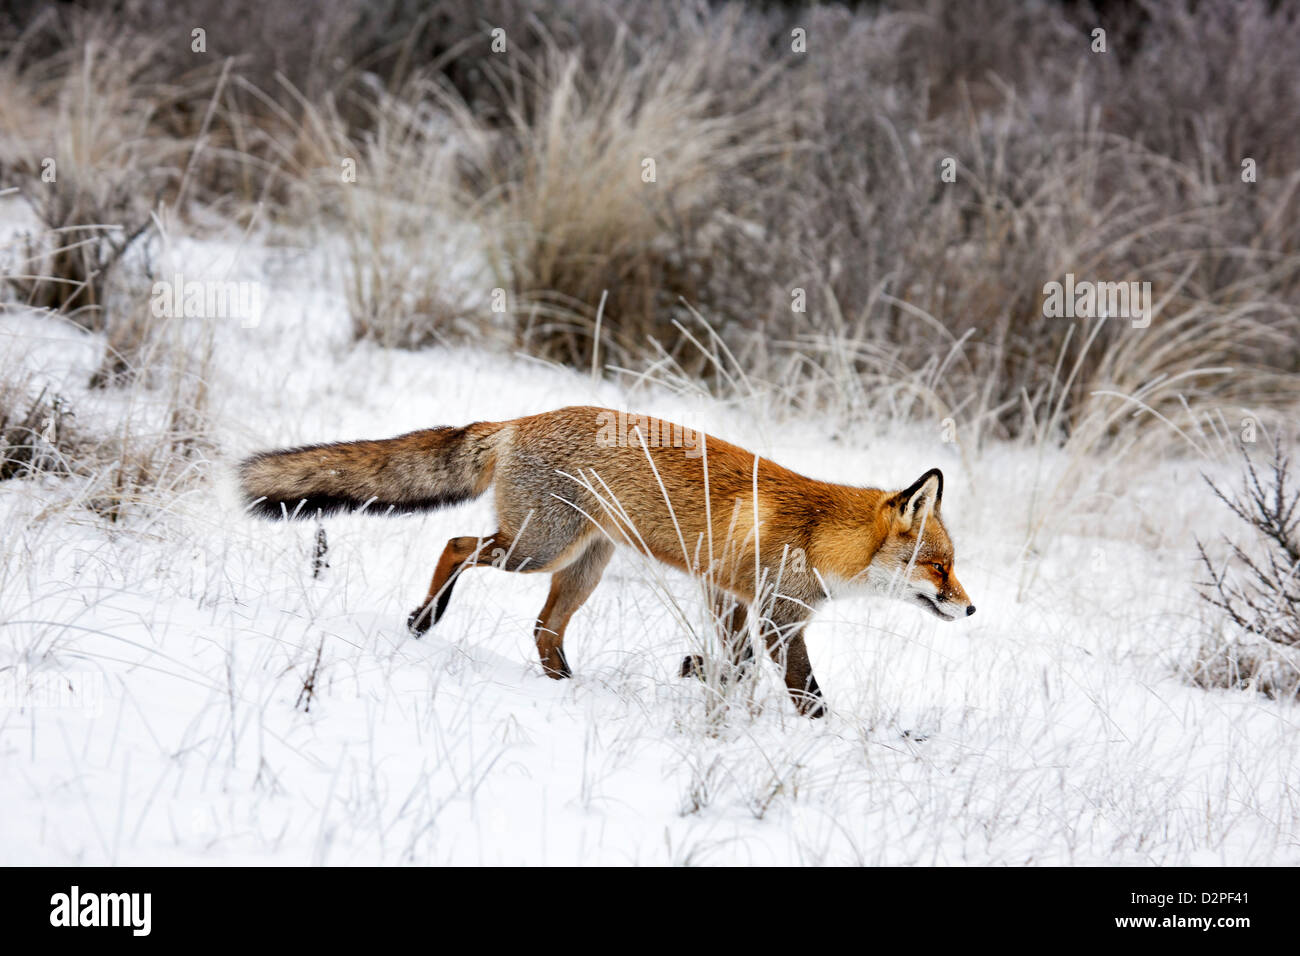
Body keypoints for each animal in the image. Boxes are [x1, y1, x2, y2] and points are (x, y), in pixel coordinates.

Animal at [241, 403, 977, 717]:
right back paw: (426, 618)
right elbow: (802, 689)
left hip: (581, 566)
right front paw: (820, 731)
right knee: (456, 546)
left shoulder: (731, 598)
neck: (821, 533)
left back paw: (567, 687)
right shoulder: (770, 613)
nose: (971, 608)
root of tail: (515, 421)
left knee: (543, 630)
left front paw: (698, 671)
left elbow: (737, 667)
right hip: (535, 550)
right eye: (939, 567)